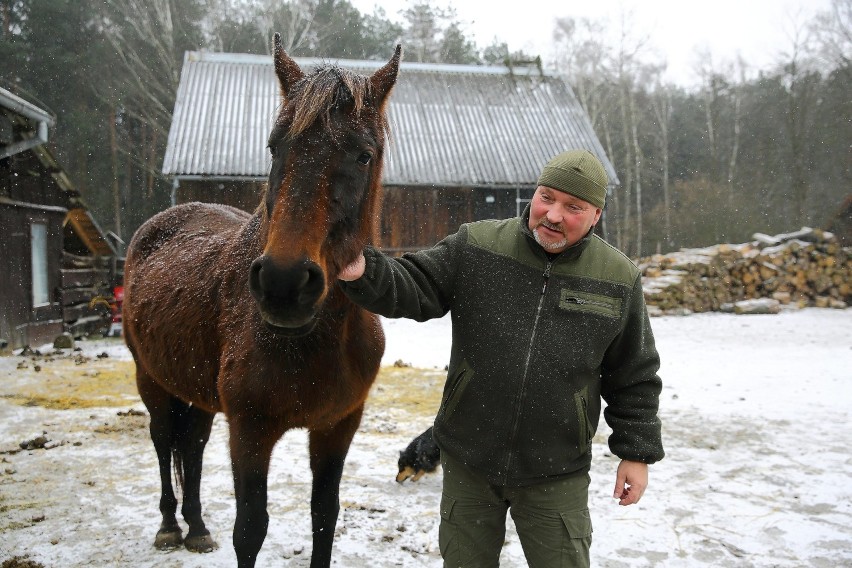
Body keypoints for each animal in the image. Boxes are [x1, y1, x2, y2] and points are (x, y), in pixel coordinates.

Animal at [122, 34, 400, 564]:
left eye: (363, 155)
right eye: (275, 146)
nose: (283, 284)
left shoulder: (337, 428)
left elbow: (324, 518)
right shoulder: (250, 431)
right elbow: (250, 529)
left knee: (192, 444)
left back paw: (196, 527)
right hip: (152, 378)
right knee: (164, 439)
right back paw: (170, 526)